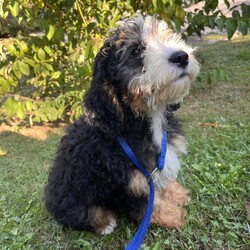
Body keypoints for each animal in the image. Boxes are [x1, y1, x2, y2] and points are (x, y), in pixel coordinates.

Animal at [45, 14, 199, 235]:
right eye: (135, 51)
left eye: (167, 36)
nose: (181, 57)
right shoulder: (128, 182)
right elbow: (148, 205)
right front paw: (174, 217)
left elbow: (161, 185)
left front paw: (176, 193)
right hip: (70, 195)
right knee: (77, 213)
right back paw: (104, 222)